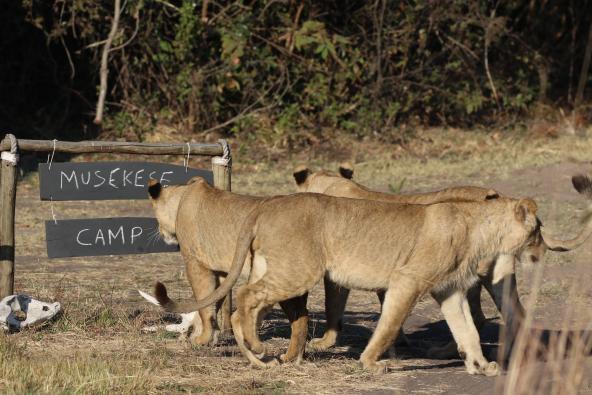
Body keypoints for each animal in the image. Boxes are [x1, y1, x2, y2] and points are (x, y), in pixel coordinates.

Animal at [154, 178, 592, 376]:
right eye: (536, 230)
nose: (538, 251)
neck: (481, 227)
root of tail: (266, 205)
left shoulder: (449, 291)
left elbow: (466, 330)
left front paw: (480, 366)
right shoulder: (407, 281)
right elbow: (389, 324)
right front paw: (370, 362)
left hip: (280, 269)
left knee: (250, 301)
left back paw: (259, 354)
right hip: (297, 271)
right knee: (244, 299)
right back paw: (258, 348)